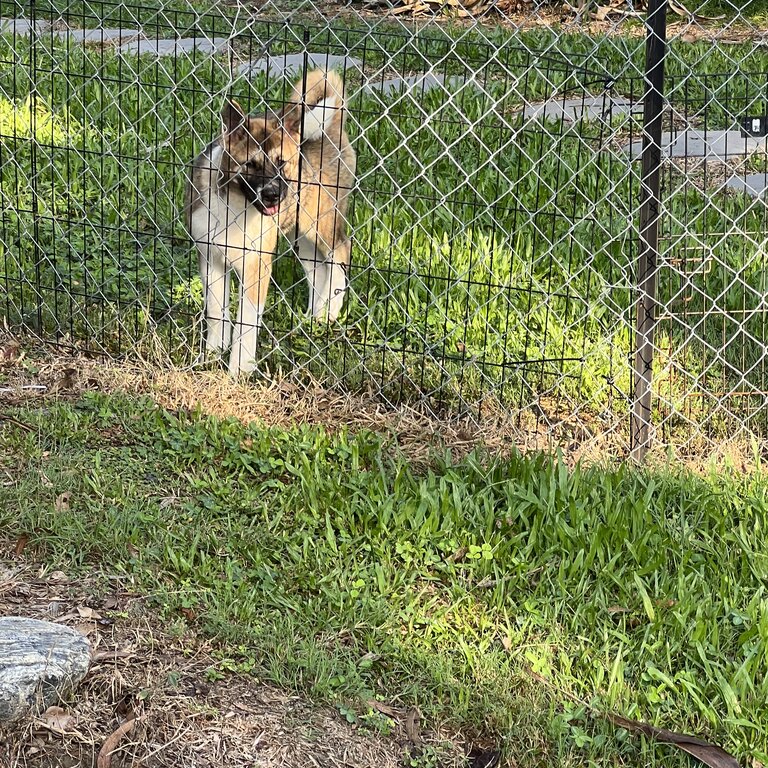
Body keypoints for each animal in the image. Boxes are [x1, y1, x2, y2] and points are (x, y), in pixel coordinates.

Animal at [186, 69, 356, 376]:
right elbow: (216, 311)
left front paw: (239, 369)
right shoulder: (211, 258)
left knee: (340, 253)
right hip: (301, 236)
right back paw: (314, 318)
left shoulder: (257, 265)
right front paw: (212, 355)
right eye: (250, 165)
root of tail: (332, 127)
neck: (235, 207)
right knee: (317, 270)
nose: (273, 195)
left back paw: (330, 312)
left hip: (322, 222)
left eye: (282, 163)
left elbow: (246, 321)